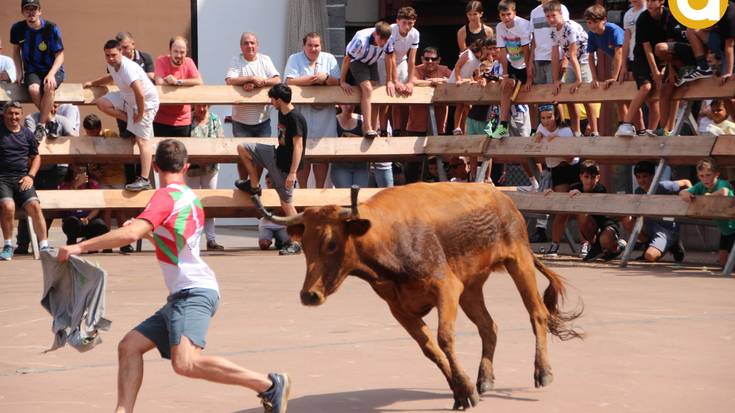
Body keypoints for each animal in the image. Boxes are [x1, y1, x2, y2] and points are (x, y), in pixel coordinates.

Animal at [268, 183, 584, 408]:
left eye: (332, 244)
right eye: (305, 245)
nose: (309, 295)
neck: (387, 238)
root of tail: (501, 197)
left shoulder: (446, 288)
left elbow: (444, 338)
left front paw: (465, 390)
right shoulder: (400, 308)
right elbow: (430, 349)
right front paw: (462, 390)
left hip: (518, 261)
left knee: (537, 313)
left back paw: (543, 371)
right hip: (472, 287)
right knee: (488, 326)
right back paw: (484, 379)